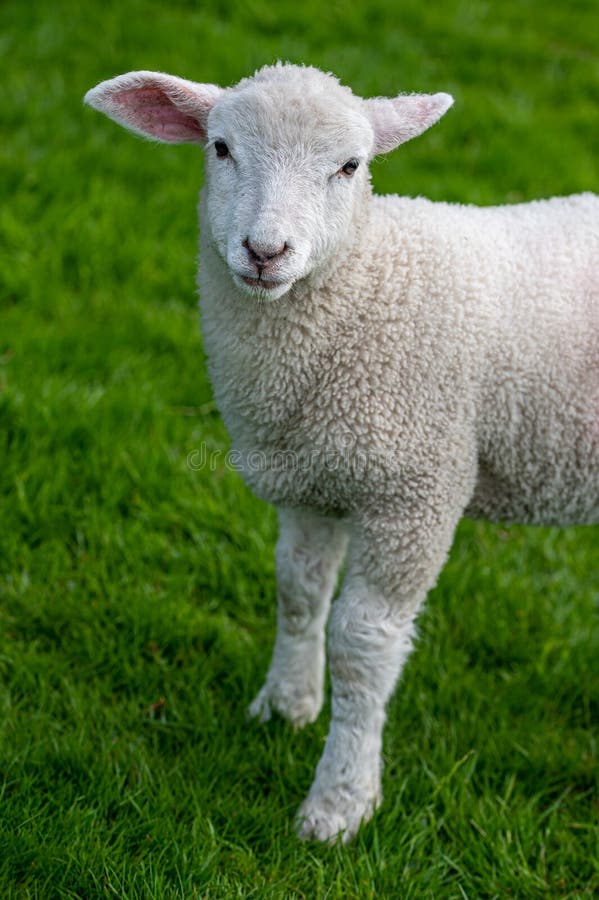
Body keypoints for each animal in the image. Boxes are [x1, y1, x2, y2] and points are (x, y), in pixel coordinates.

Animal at [85, 63, 599, 844]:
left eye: (351, 166)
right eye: (220, 148)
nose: (265, 252)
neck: (366, 285)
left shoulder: (413, 494)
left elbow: (363, 644)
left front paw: (340, 801)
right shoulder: (311, 481)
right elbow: (297, 592)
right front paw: (285, 705)